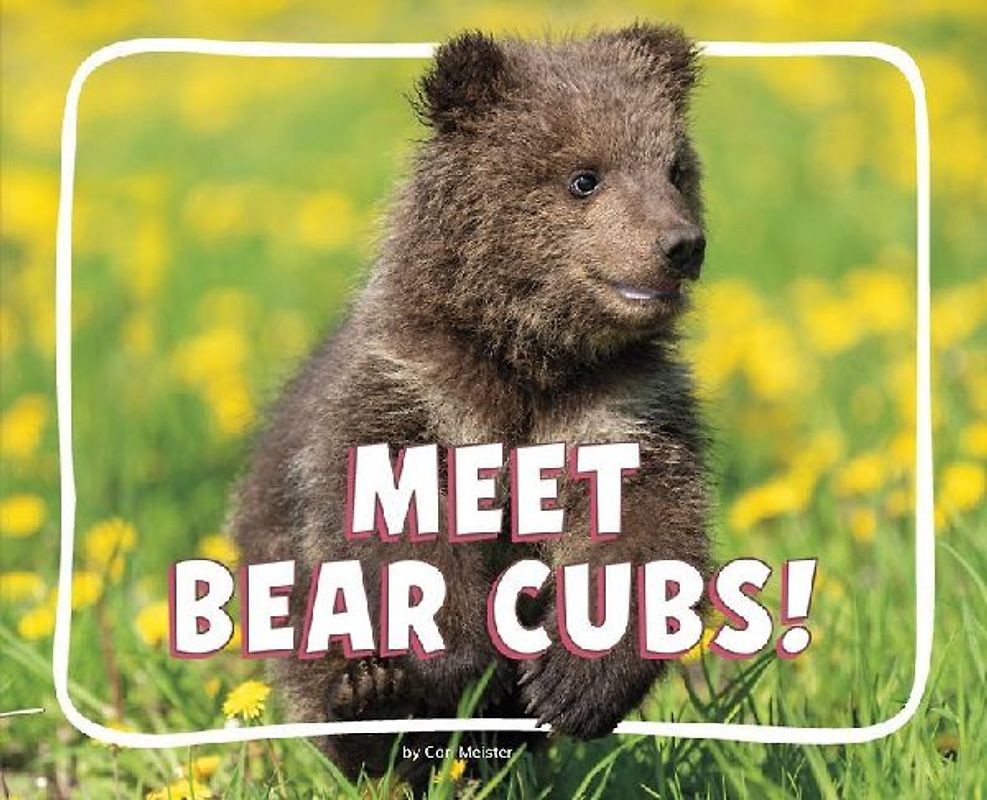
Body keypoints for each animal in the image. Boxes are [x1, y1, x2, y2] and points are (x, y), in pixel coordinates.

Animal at [232, 22, 710, 782]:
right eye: (584, 175)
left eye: (673, 169)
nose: (680, 244)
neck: (529, 358)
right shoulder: (412, 390)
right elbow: (396, 522)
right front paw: (458, 665)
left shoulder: (618, 408)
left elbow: (642, 529)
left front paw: (575, 681)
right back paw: (374, 706)